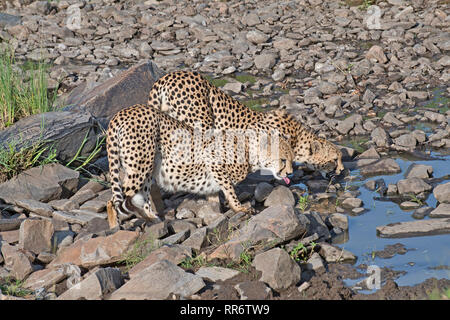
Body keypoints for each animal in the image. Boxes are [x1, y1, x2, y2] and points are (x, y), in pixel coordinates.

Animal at [107, 104, 294, 226]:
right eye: (283, 160)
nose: (290, 173)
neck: (250, 149)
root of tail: (122, 113)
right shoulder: (211, 160)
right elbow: (229, 188)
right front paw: (239, 208)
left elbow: (215, 194)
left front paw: (216, 212)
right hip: (141, 164)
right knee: (114, 201)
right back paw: (117, 228)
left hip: (147, 167)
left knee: (140, 196)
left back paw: (153, 219)